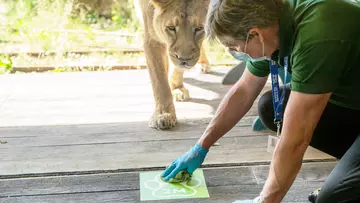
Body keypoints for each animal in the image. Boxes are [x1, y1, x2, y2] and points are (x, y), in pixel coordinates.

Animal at [134, 0, 211, 130]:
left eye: (199, 28)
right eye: (171, 28)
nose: (184, 60)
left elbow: (177, 67)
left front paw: (177, 88)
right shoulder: (152, 37)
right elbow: (160, 83)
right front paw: (164, 114)